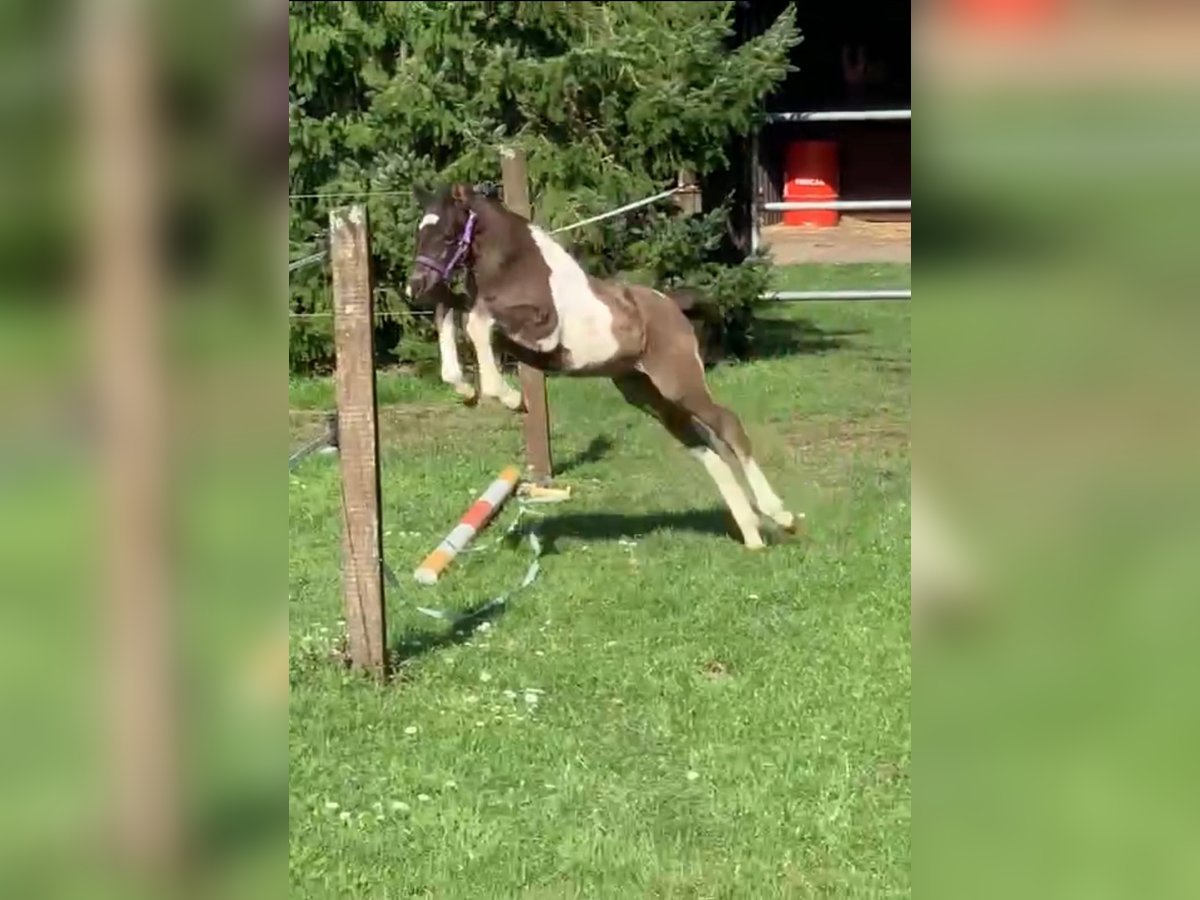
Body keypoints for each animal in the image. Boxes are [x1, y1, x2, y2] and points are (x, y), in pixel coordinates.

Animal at [405, 183, 796, 549]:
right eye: (419, 233)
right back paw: (752, 533)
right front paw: (463, 387)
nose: (416, 286)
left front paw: (509, 397)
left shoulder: (542, 332)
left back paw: (781, 515)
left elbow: (477, 320)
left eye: (448, 235)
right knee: (705, 447)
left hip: (678, 383)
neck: (520, 270)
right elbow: (452, 309)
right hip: (648, 396)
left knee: (728, 426)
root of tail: (671, 304)